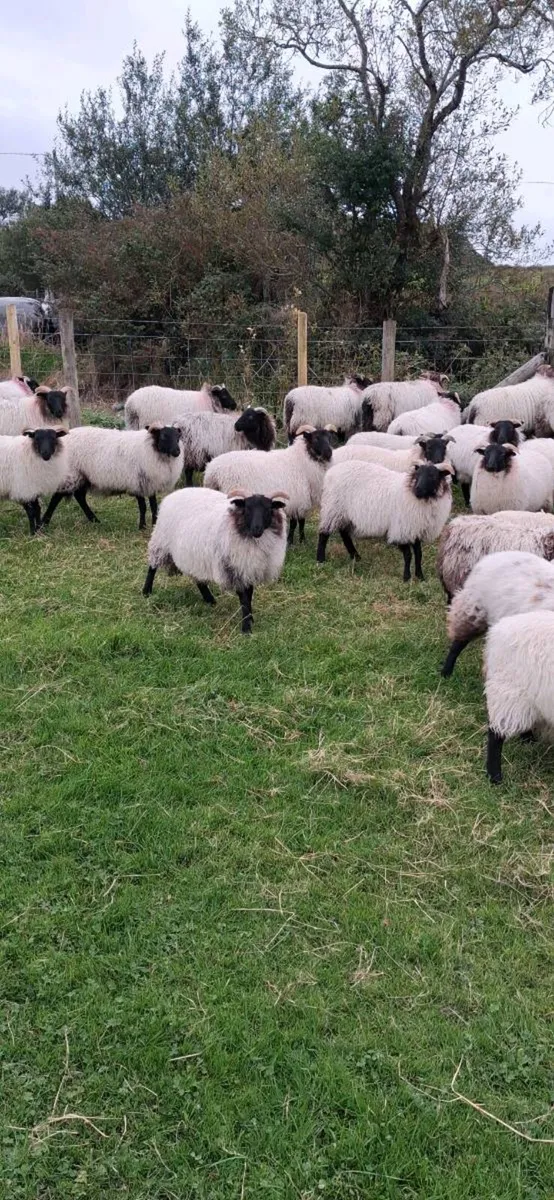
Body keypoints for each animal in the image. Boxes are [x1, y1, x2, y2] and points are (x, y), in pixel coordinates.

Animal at [40, 424, 184, 530]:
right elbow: (143, 506)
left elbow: (154, 506)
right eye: (164, 436)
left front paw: (154, 525)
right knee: (57, 497)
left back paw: (94, 520)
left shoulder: (149, 484)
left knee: (79, 497)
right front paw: (142, 527)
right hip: (71, 474)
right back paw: (44, 522)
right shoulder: (136, 483)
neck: (151, 448)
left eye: (178, 437)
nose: (177, 452)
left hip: (83, 476)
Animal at [142, 486, 289, 634]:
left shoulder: (248, 567)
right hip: (161, 541)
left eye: (268, 509)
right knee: (152, 566)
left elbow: (249, 595)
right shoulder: (234, 567)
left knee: (198, 579)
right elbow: (244, 599)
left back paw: (209, 599)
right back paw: (146, 591)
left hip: (194, 556)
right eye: (247, 508)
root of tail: (173, 494)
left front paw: (250, 619)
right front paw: (246, 627)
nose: (256, 529)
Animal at [204, 424, 335, 546]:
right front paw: (290, 541)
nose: (329, 453)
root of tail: (212, 471)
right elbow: (294, 523)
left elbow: (302, 521)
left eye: (329, 438)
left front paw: (302, 541)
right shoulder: (296, 498)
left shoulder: (302, 499)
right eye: (316, 438)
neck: (302, 460)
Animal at [317, 459, 453, 580]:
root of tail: (331, 471)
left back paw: (355, 556)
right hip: (333, 508)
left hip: (343, 514)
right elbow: (408, 555)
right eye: (417, 475)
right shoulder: (401, 529)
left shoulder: (415, 528)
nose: (418, 489)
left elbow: (419, 554)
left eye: (433, 476)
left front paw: (420, 577)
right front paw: (406, 577)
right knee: (324, 534)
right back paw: (320, 559)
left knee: (344, 534)